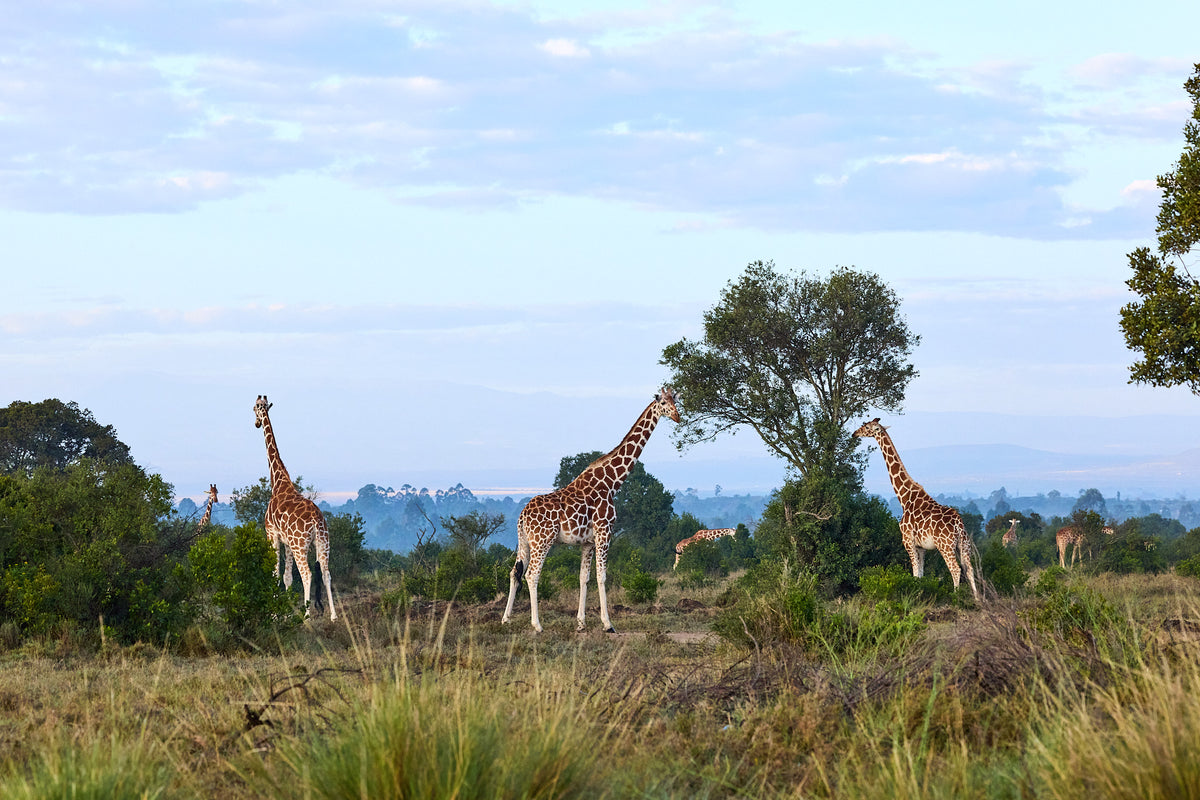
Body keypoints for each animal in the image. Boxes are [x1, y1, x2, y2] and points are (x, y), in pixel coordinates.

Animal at [253, 395, 337, 621]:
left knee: (307, 573)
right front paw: (285, 612)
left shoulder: (272, 534)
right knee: (326, 573)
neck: (278, 481)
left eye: (254, 408)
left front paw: (275, 614)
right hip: (323, 542)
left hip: (301, 545)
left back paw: (306, 615)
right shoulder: (287, 541)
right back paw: (334, 616)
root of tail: (316, 521)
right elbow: (287, 577)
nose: (256, 423)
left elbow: (276, 573)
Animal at [502, 387, 681, 633]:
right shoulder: (605, 532)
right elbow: (602, 576)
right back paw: (537, 625)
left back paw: (505, 619)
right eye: (663, 403)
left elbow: (583, 578)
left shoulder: (587, 541)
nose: (677, 416)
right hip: (542, 541)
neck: (612, 482)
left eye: (676, 400)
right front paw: (608, 624)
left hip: (525, 542)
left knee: (515, 572)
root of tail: (522, 516)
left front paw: (581, 623)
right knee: (532, 575)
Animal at [853, 418, 979, 600]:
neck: (904, 497)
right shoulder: (921, 546)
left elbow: (914, 573)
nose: (854, 433)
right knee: (969, 569)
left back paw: (956, 598)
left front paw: (915, 597)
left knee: (956, 569)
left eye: (867, 427)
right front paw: (919, 594)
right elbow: (920, 574)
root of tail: (958, 524)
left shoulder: (908, 541)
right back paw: (977, 600)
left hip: (945, 546)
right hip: (964, 544)